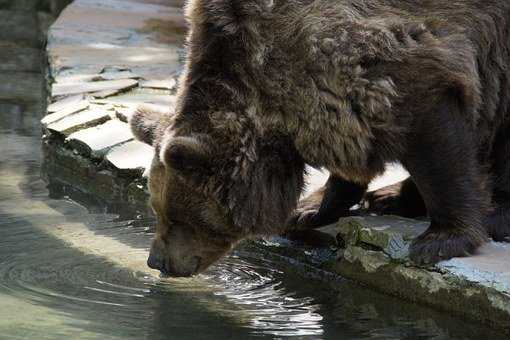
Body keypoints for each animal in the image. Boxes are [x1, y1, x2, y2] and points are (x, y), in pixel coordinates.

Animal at [129, 0, 510, 276]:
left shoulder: (404, 63)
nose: (157, 262)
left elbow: (437, 145)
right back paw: (387, 196)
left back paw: (494, 216)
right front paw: (308, 209)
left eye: (178, 217)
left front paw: (442, 238)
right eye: (156, 209)